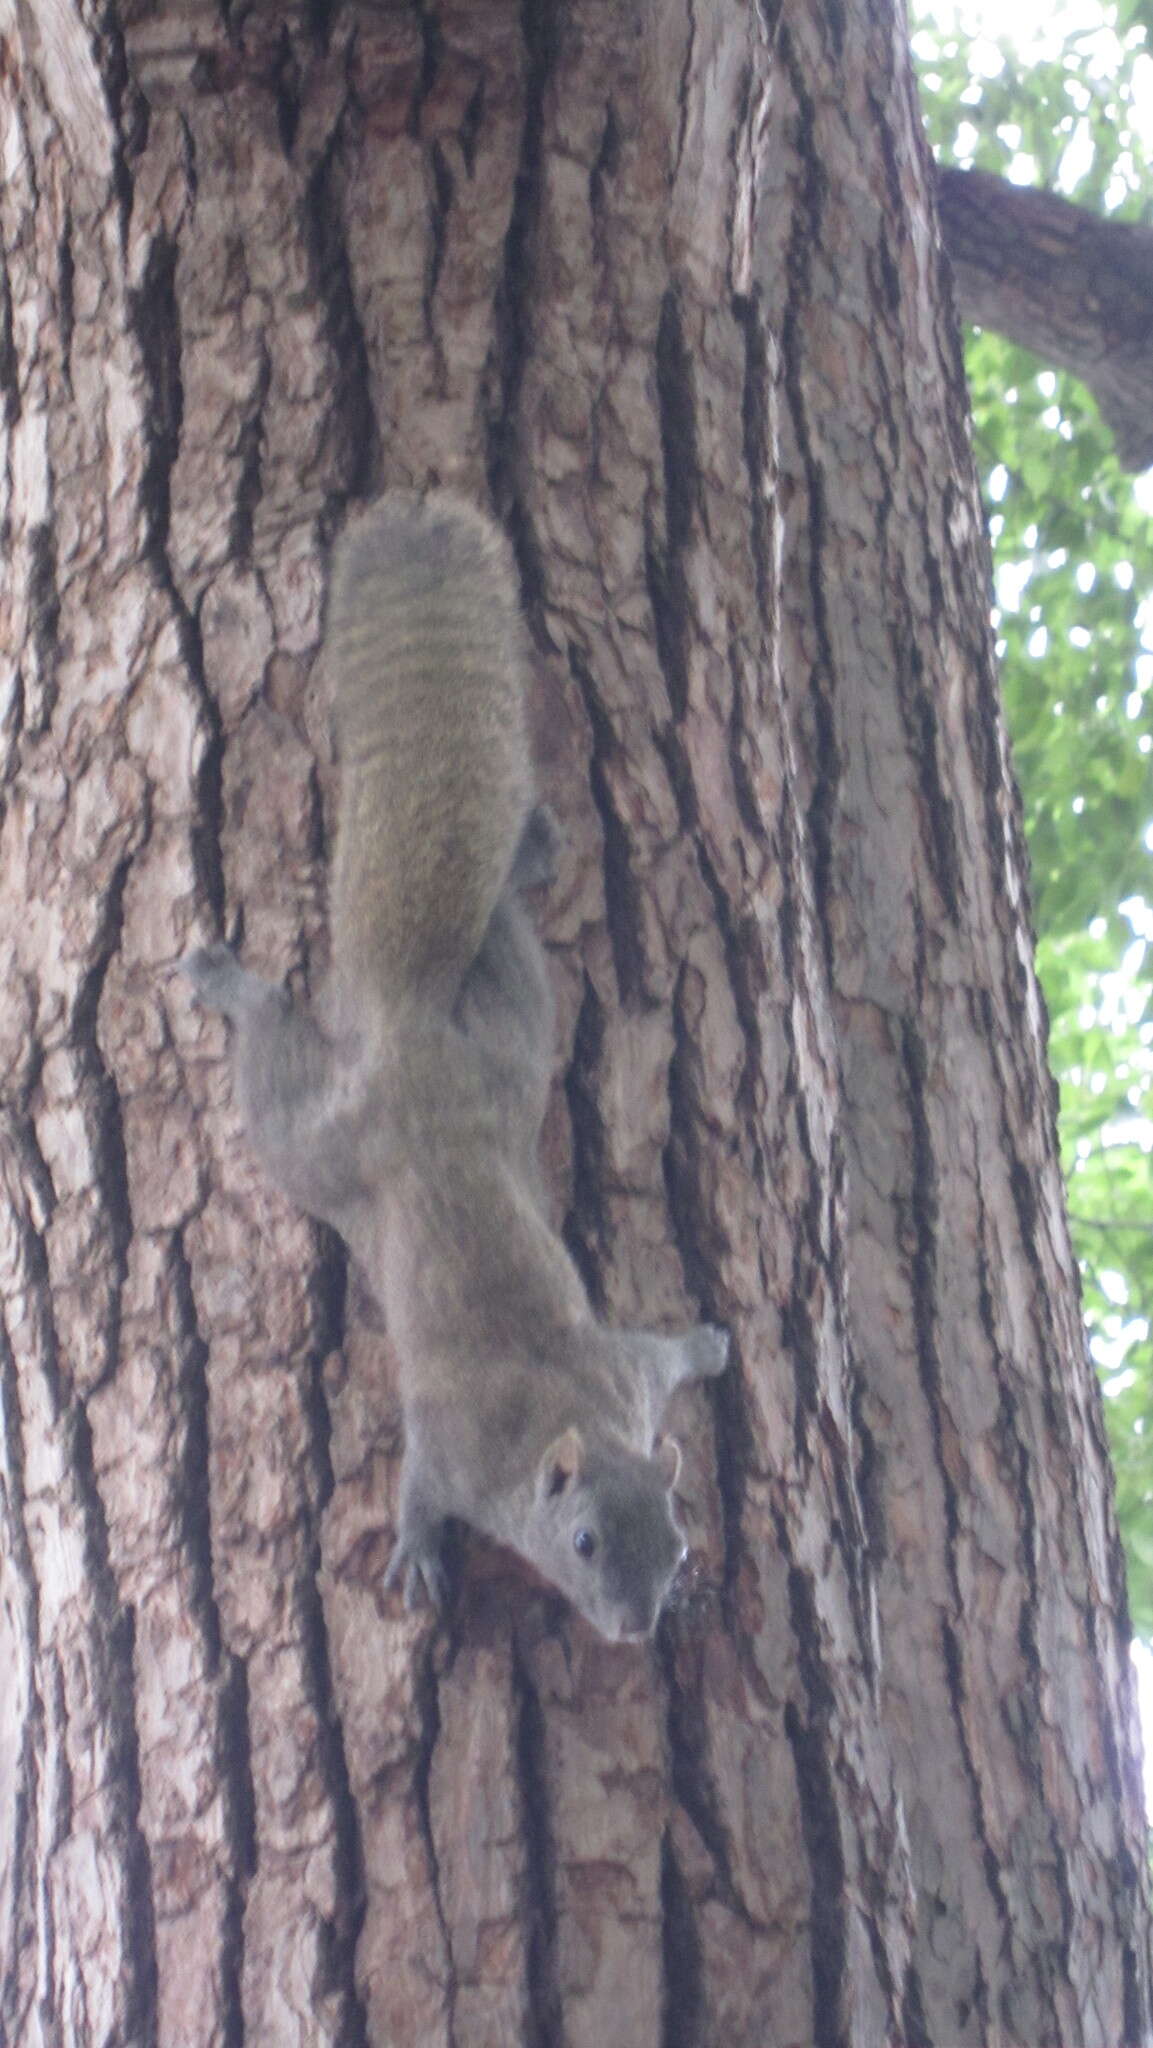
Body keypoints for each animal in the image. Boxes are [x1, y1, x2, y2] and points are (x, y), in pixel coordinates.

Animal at [187, 495, 729, 1646]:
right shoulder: (457, 1447)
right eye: (583, 1542)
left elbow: (661, 1357)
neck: (572, 1422)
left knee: (507, 932)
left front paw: (706, 1347)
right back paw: (227, 983)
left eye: (678, 1546)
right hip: (321, 1143)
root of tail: (410, 1029)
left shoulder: (626, 1375)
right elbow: (418, 1487)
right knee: (273, 1054)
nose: (634, 1627)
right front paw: (417, 1554)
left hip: (514, 1039)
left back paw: (525, 850)